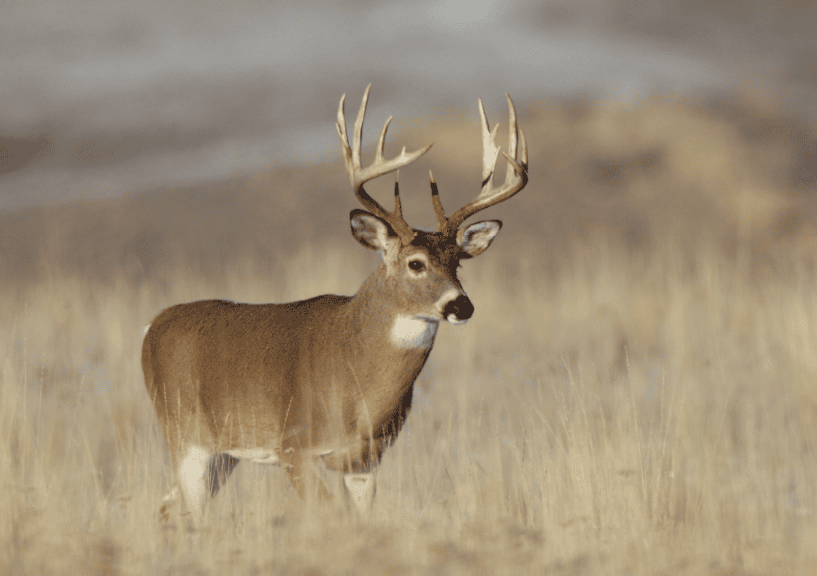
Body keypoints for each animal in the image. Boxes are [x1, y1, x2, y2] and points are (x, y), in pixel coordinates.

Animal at [141, 84, 528, 520]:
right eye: (416, 263)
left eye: (458, 262)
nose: (460, 306)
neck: (354, 376)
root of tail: (152, 326)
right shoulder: (293, 445)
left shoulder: (365, 460)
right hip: (185, 435)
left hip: (223, 454)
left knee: (167, 508)